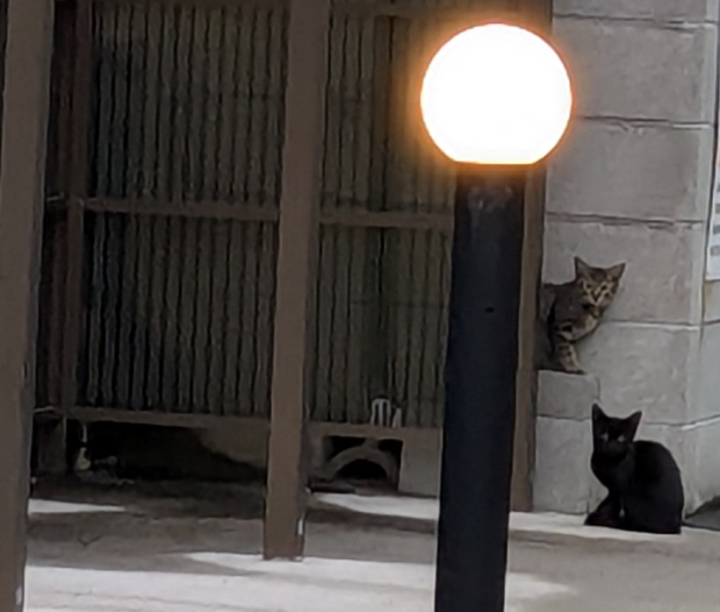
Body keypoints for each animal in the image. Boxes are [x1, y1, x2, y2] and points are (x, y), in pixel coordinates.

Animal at [586, 404, 684, 535]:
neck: (608, 462)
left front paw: (601, 513)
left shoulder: (618, 488)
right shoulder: (613, 489)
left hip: (631, 495)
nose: (611, 445)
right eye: (604, 435)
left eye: (621, 438)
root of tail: (675, 527)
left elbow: (612, 504)